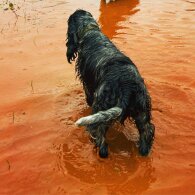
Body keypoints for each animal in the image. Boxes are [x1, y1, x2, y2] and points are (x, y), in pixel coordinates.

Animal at [66, 9, 155, 158]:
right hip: (142, 110)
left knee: (100, 136)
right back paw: (143, 151)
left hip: (101, 105)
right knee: (148, 131)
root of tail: (126, 87)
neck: (90, 30)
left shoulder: (87, 84)